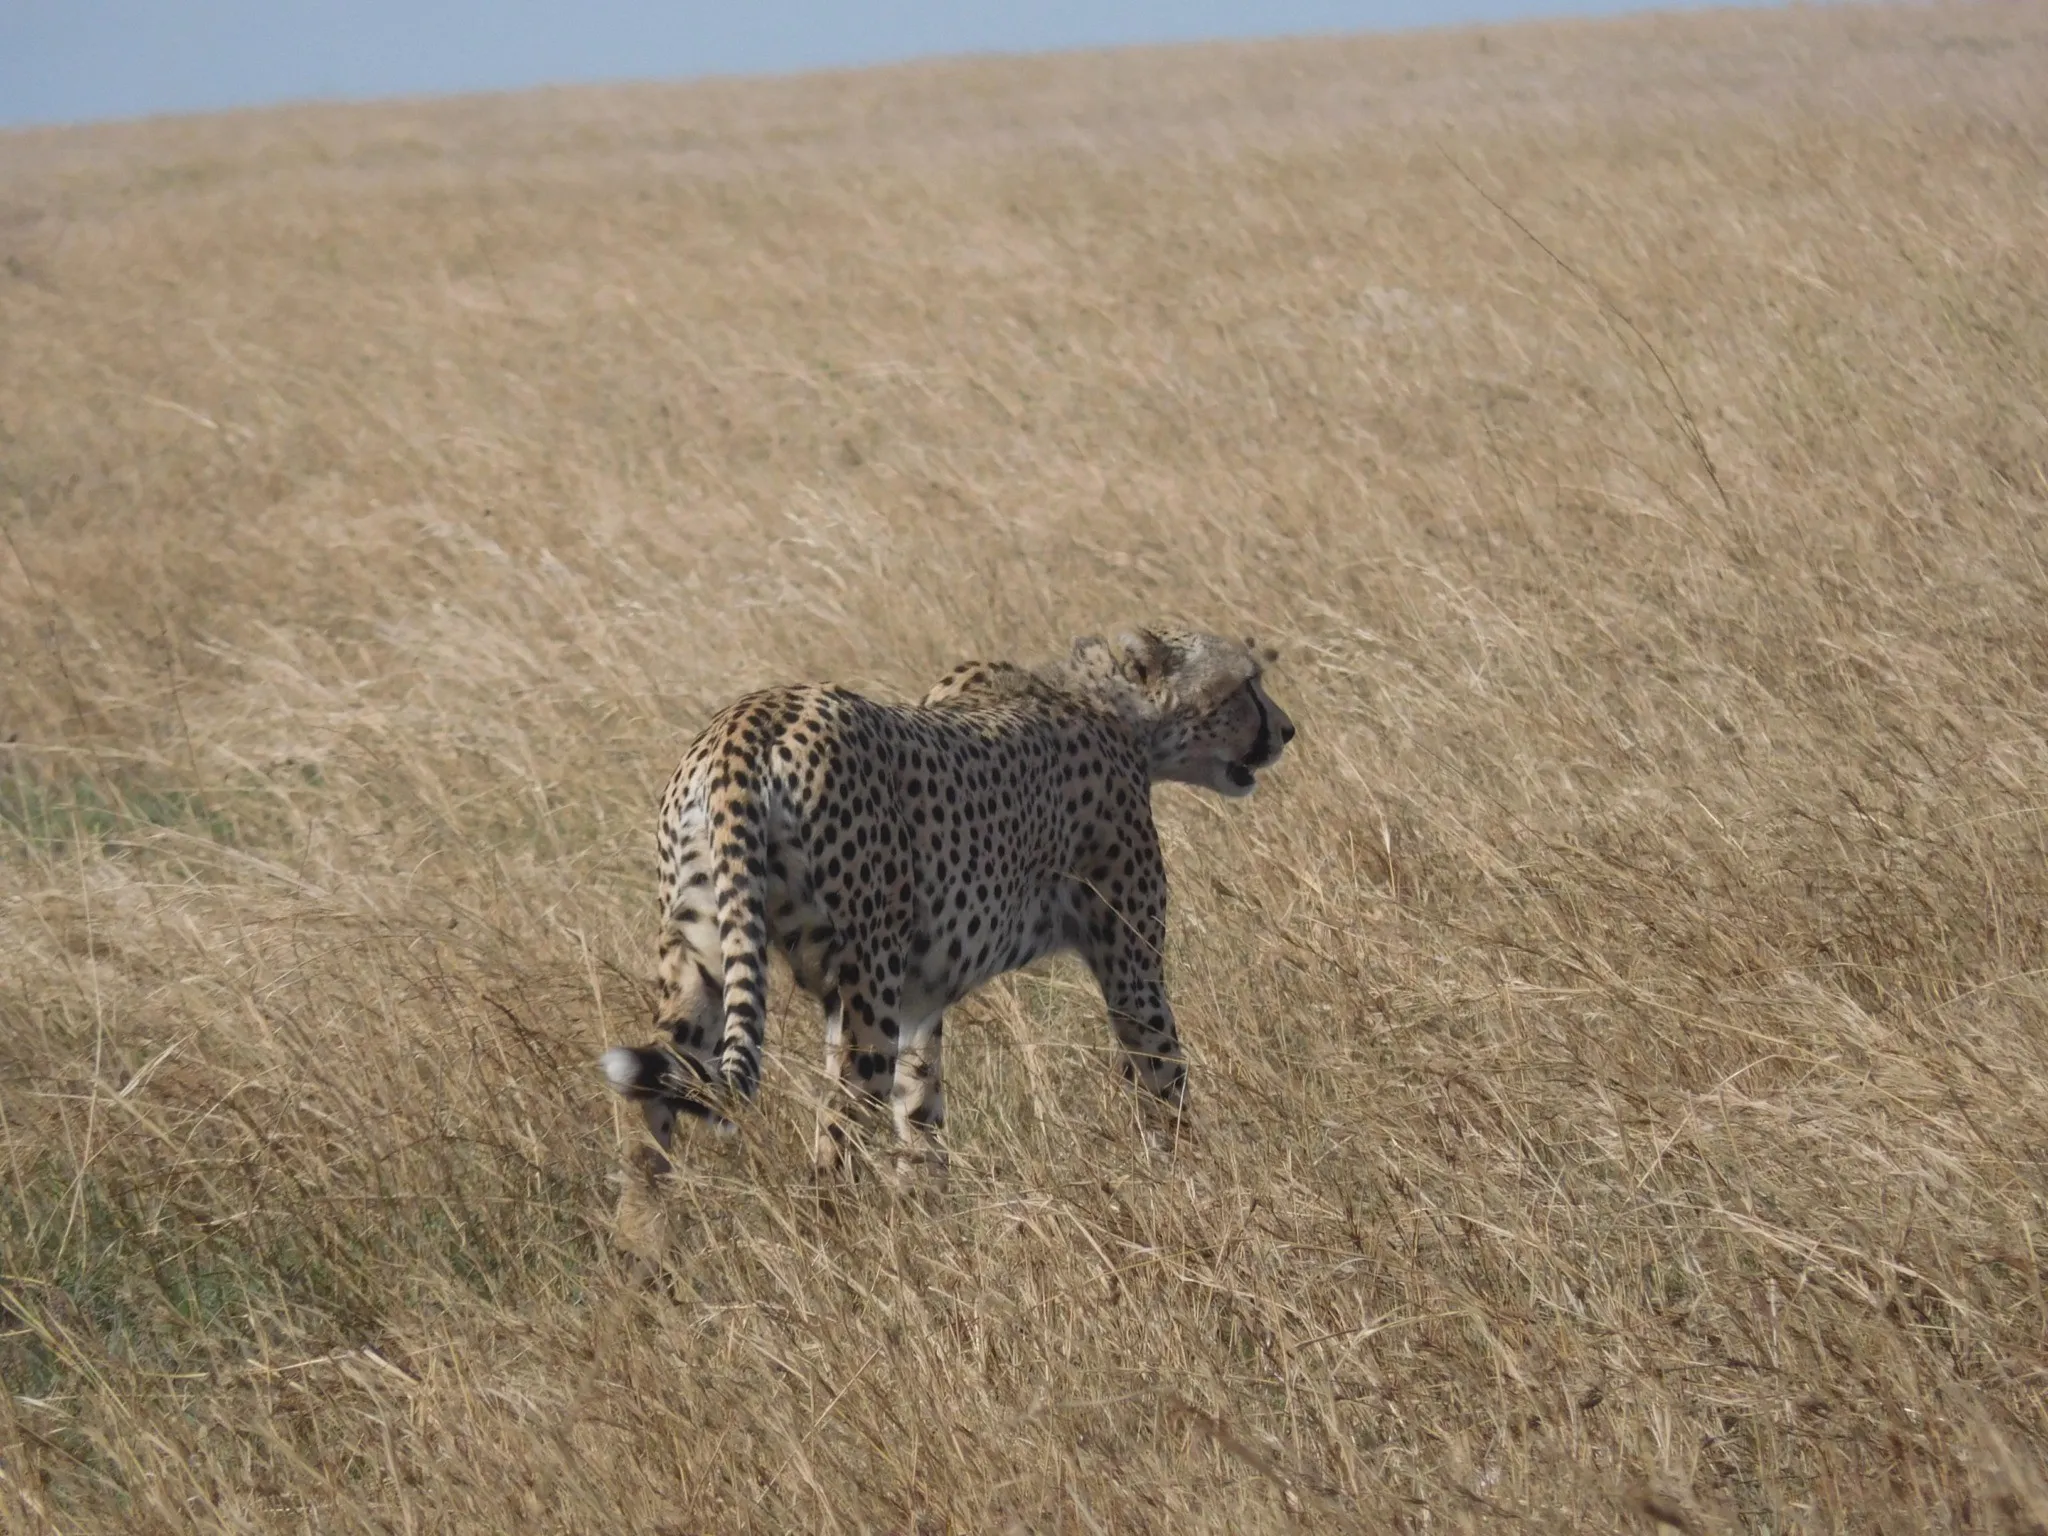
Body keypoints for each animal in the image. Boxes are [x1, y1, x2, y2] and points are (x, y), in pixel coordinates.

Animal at [599, 624, 1296, 1174]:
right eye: (1246, 684)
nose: (1288, 730)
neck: (1103, 702)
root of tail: (753, 715)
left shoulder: (921, 1000)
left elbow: (920, 1108)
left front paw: (928, 1199)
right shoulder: (1132, 967)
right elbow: (1164, 1078)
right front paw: (1194, 1184)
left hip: (702, 951)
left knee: (647, 1121)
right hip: (863, 988)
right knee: (837, 1132)